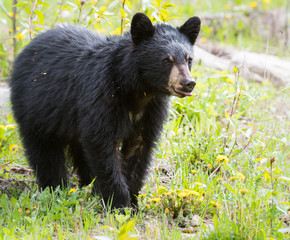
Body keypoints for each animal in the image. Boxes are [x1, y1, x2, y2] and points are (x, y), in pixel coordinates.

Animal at [10, 12, 201, 210]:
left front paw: (133, 203)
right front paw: (120, 203)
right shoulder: (101, 95)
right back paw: (56, 188)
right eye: (165, 60)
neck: (137, 90)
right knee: (45, 153)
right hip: (36, 109)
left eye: (189, 59)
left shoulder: (152, 110)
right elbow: (102, 145)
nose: (188, 83)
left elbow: (139, 147)